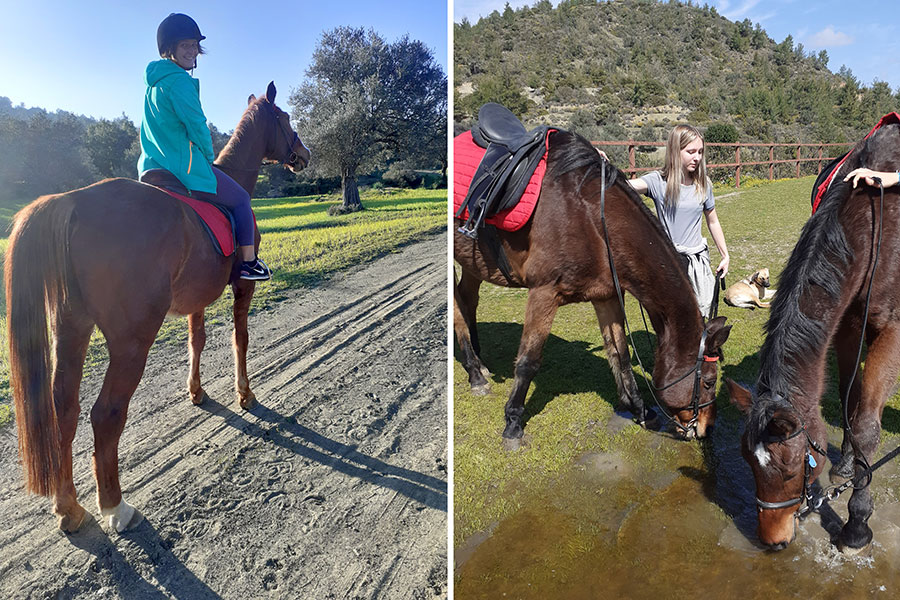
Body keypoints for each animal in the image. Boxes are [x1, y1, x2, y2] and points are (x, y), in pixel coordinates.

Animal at [5, 82, 310, 533]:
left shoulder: (197, 299)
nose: (303, 154)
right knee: (105, 414)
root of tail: (72, 201)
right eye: (286, 119)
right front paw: (245, 394)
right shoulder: (242, 288)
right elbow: (240, 339)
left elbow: (197, 342)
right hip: (131, 342)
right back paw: (115, 506)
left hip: (71, 329)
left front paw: (197, 391)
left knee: (66, 409)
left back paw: (69, 506)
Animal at [454, 130, 732, 443]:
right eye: (708, 381)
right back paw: (475, 374)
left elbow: (620, 354)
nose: (706, 428)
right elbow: (528, 361)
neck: (589, 218)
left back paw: (479, 361)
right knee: (457, 309)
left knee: (467, 300)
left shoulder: (607, 295)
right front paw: (513, 421)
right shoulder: (543, 293)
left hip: (473, 263)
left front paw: (638, 408)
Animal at [727, 122, 900, 551]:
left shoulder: (892, 331)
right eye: (747, 462)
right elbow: (849, 399)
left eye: (791, 468)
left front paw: (857, 523)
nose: (772, 540)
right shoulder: (848, 323)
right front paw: (847, 465)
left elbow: (868, 424)